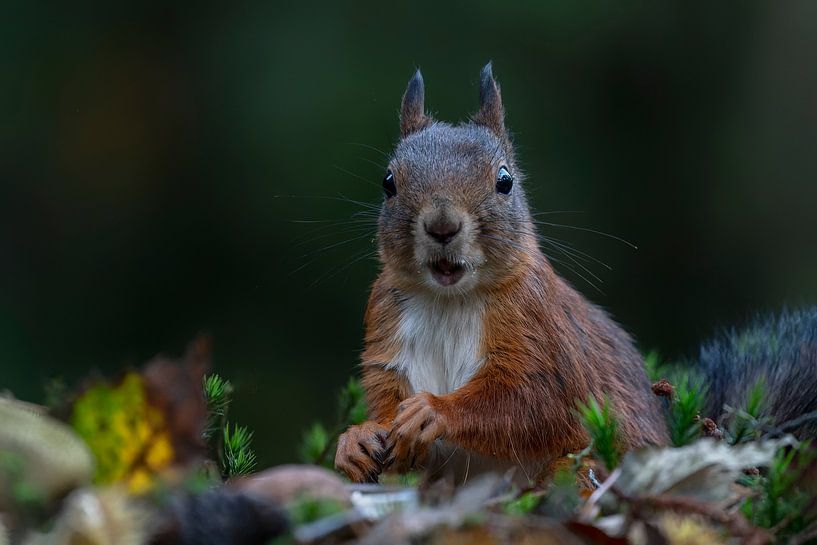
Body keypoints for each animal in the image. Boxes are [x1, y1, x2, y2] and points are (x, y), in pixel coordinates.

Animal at [333, 63, 817, 484]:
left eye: (505, 181)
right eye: (388, 182)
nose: (442, 226)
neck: (450, 298)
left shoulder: (542, 332)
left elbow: (534, 404)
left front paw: (433, 411)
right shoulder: (386, 328)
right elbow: (385, 397)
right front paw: (356, 439)